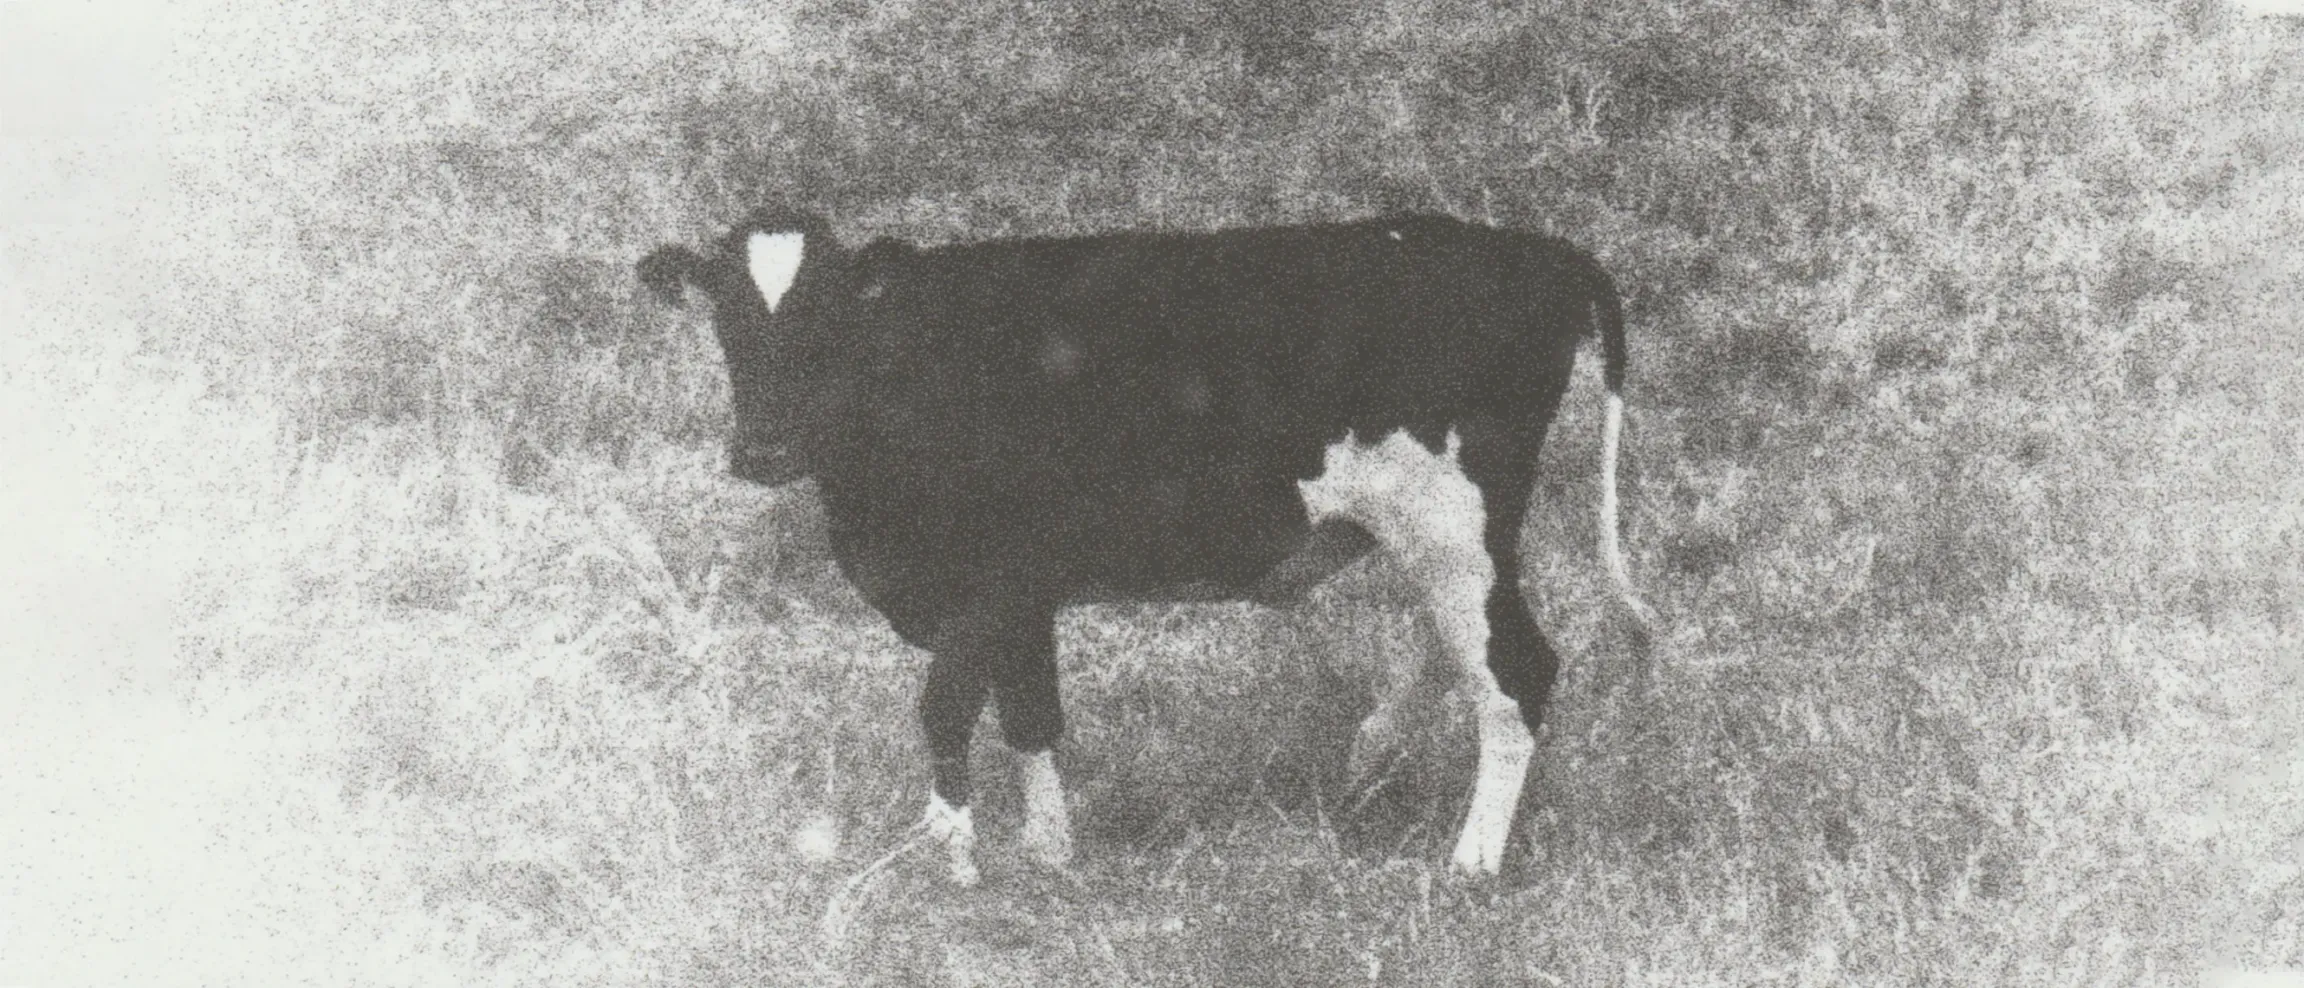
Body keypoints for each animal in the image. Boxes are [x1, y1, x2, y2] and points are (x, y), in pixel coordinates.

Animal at [638, 209, 1653, 883]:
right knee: (1462, 646)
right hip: (1437, 535)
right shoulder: (1021, 594)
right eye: (727, 320)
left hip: (1452, 521)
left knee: (1516, 671)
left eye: (829, 324)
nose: (766, 449)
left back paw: (1470, 863)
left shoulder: (986, 584)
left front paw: (955, 859)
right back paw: (1372, 757)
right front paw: (1050, 855)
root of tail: (1532, 247)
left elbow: (944, 709)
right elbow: (1030, 714)